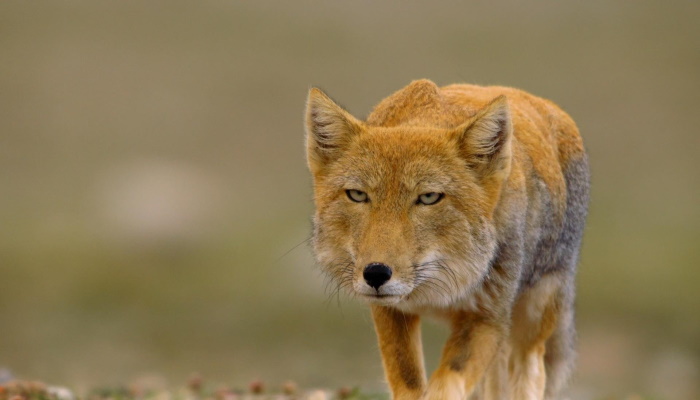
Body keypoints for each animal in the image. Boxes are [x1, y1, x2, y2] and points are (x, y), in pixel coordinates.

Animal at [304, 79, 589, 400]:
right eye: (357, 195)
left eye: (429, 197)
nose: (376, 273)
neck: (435, 292)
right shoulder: (390, 312)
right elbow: (409, 384)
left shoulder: (487, 317)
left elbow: (446, 385)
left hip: (530, 322)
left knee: (530, 369)